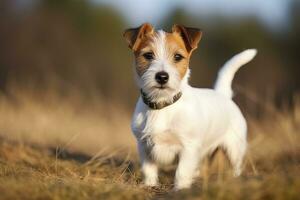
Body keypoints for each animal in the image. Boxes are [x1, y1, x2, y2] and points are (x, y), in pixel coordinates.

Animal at [123, 23, 256, 189]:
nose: (162, 77)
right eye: (148, 55)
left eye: (177, 57)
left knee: (236, 167)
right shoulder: (144, 146)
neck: (162, 106)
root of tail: (222, 94)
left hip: (234, 148)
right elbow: (149, 170)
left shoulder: (189, 148)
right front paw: (150, 185)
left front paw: (180, 189)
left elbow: (182, 171)